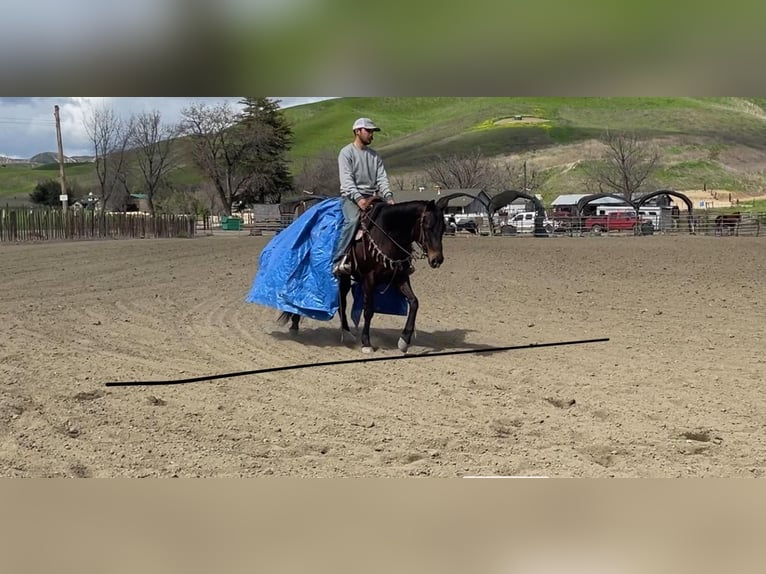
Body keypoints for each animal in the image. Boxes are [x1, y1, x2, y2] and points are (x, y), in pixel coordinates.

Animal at [282, 201, 450, 356]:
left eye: (443, 228)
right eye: (428, 226)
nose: (437, 259)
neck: (387, 233)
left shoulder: (400, 276)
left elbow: (414, 302)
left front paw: (404, 341)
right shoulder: (369, 279)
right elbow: (368, 310)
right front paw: (366, 343)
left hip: (344, 278)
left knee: (341, 301)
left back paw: (346, 334)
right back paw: (295, 326)